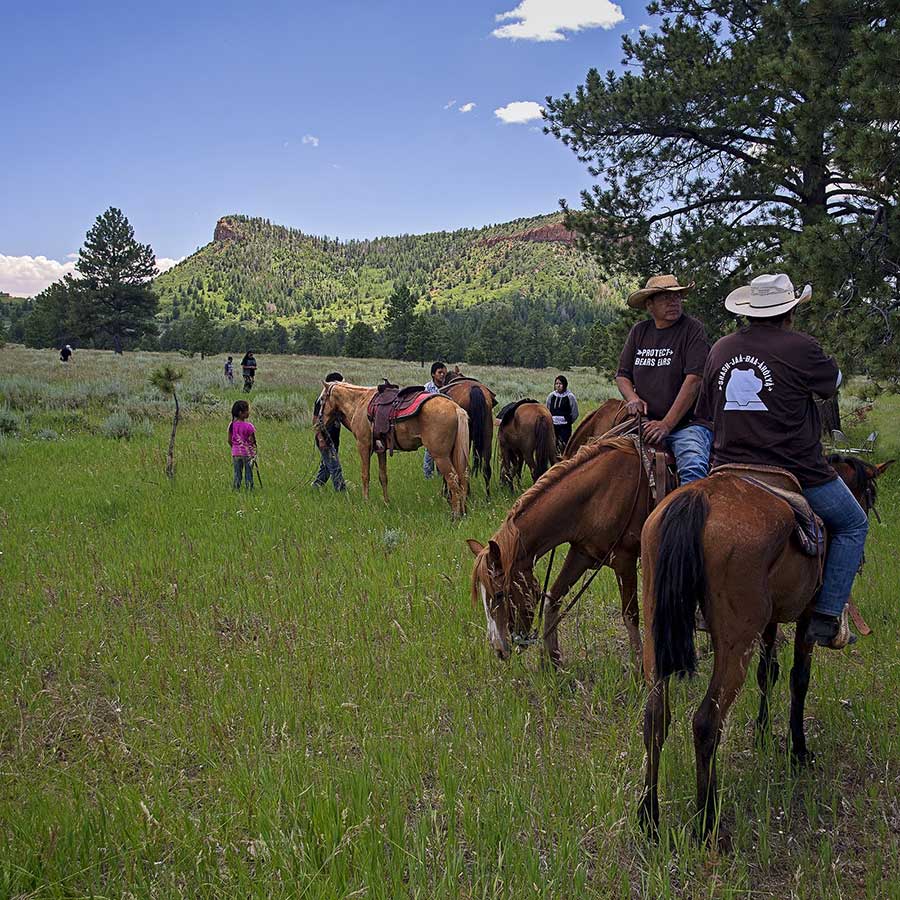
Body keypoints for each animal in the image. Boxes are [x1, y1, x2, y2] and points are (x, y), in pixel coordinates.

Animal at [316, 382, 472, 520]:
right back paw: (463, 512)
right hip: (453, 454)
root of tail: (455, 407)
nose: (318, 424)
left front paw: (366, 502)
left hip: (440, 456)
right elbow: (383, 476)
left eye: (322, 399)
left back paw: (455, 515)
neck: (360, 402)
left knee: (453, 480)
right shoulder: (381, 450)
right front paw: (386, 502)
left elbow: (365, 475)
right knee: (463, 478)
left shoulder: (363, 446)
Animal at [468, 436, 652, 668]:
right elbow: (552, 599)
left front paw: (640, 669)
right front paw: (552, 662)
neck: (599, 495)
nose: (499, 650)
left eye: (499, 594)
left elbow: (630, 615)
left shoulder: (624, 560)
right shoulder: (582, 554)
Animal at [640, 458, 892, 844]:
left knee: (655, 717)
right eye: (869, 494)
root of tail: (699, 499)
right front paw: (799, 750)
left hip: (656, 638)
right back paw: (706, 822)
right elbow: (798, 680)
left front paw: (761, 733)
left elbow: (767, 673)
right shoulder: (806, 618)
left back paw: (649, 819)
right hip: (735, 643)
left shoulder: (770, 622)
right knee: (706, 722)